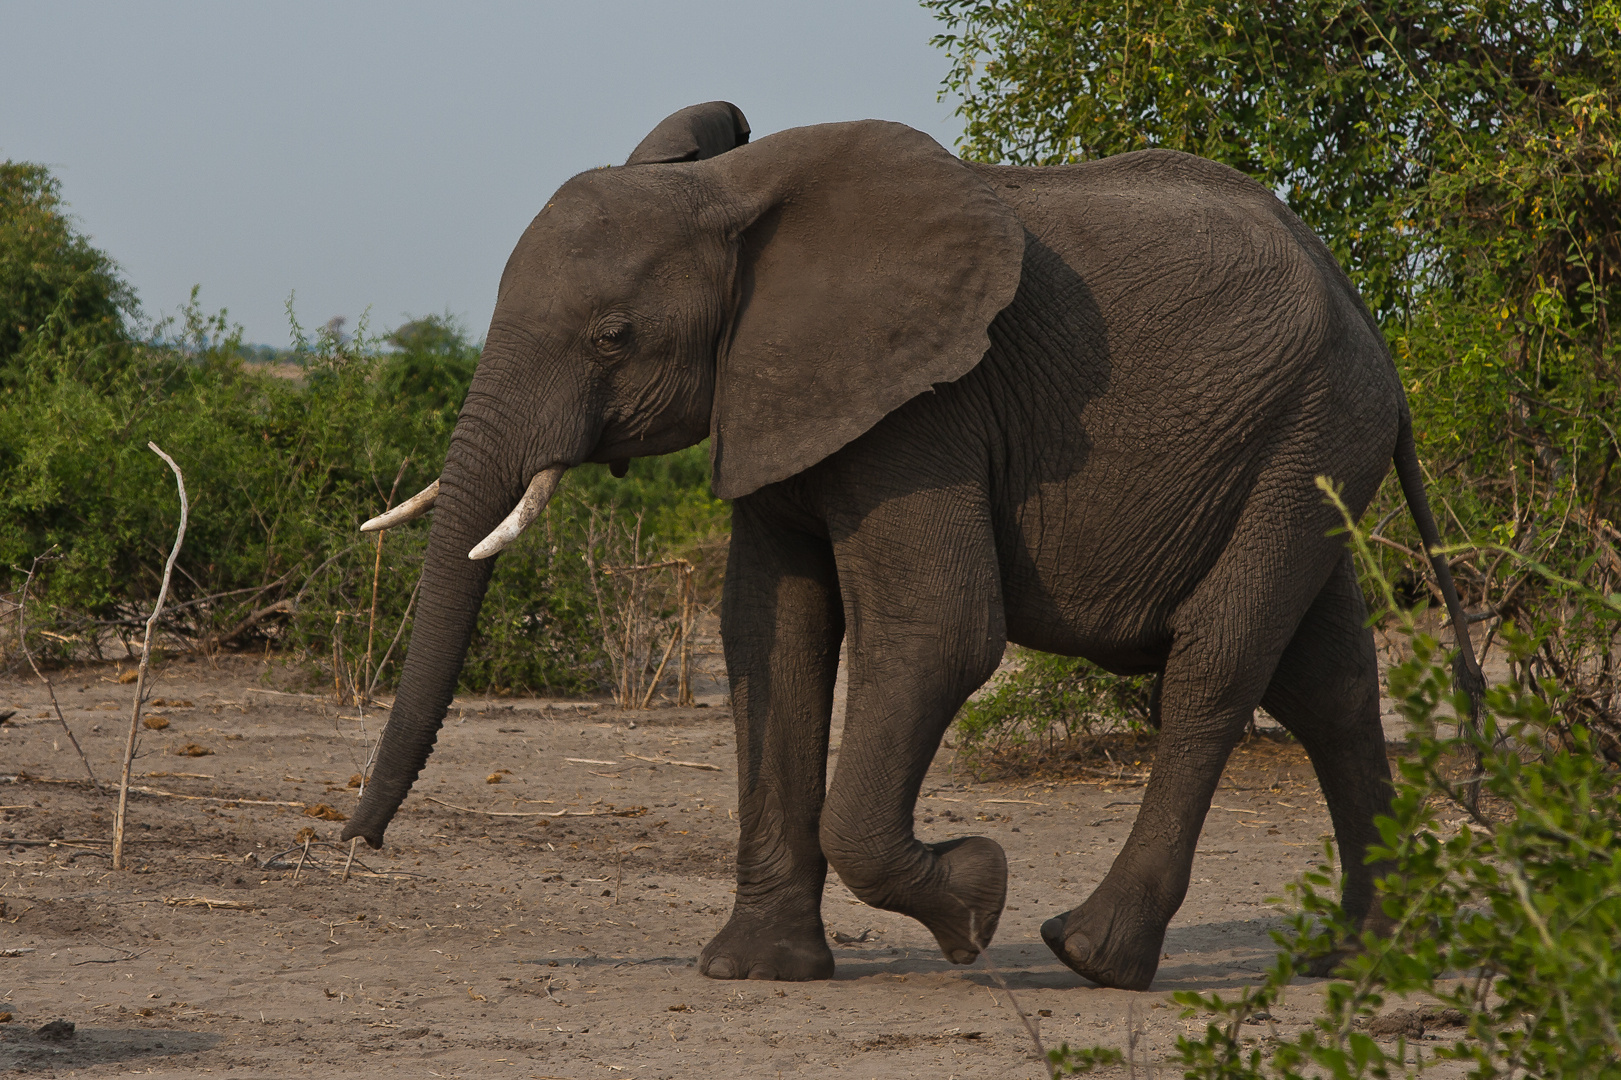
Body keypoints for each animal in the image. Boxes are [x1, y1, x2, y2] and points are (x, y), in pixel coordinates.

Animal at [342, 102, 1484, 992]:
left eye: (612, 336)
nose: (357, 843)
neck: (732, 195)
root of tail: (1361, 306)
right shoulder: (784, 395)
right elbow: (771, 634)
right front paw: (756, 971)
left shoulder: (923, 410)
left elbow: (938, 633)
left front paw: (977, 903)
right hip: (1308, 446)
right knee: (1327, 679)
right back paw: (1362, 961)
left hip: (1310, 427)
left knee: (1217, 662)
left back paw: (1089, 954)